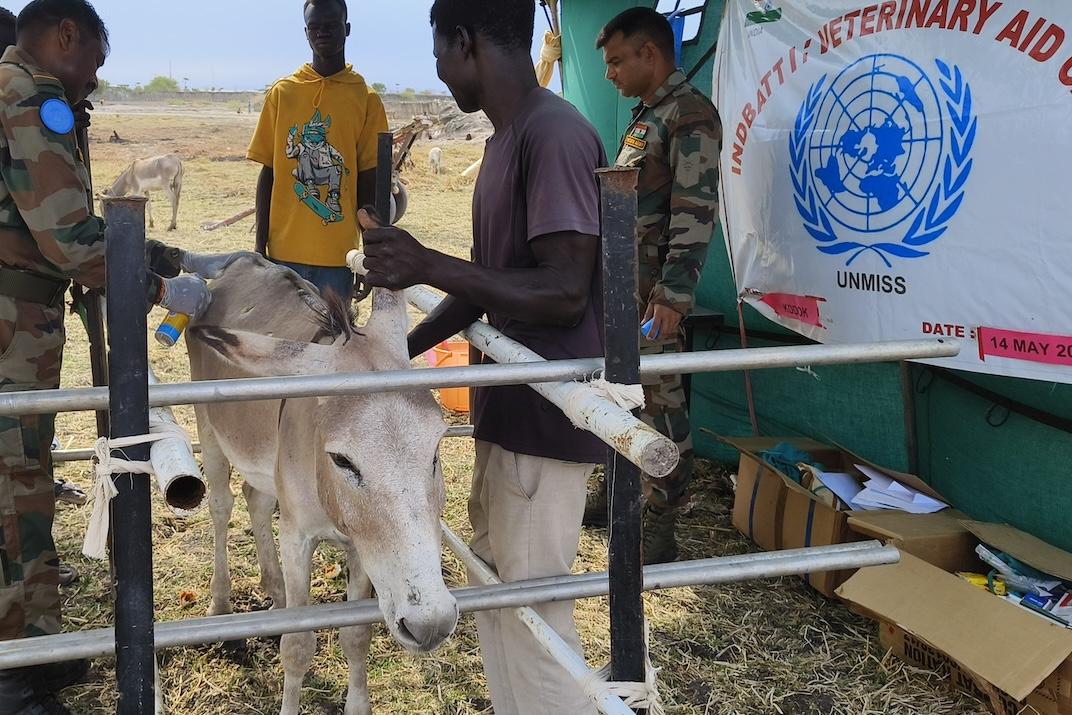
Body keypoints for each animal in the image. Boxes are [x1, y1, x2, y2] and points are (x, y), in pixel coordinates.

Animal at [184, 253, 458, 715]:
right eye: (342, 460)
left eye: (435, 451)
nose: (431, 624)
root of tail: (242, 261)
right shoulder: (297, 535)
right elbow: (297, 647)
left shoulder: (363, 547)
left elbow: (357, 636)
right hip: (210, 430)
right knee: (222, 506)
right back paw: (220, 603)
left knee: (255, 500)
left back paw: (274, 593)